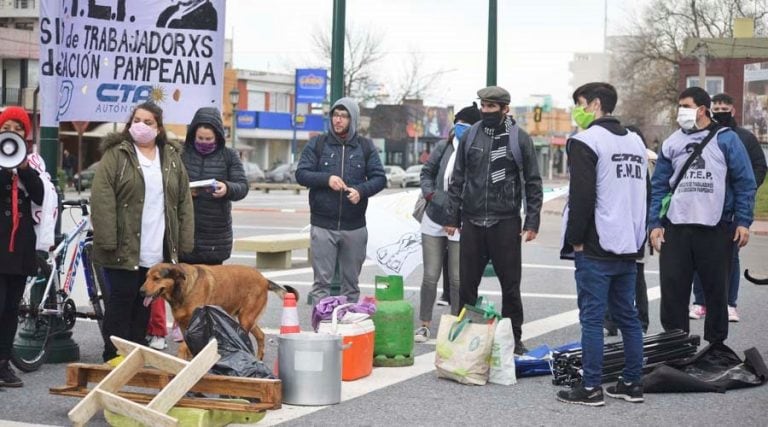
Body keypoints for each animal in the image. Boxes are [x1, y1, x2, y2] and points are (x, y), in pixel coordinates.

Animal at [140, 264, 298, 362]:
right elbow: (188, 346)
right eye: (146, 277)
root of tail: (264, 279)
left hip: (246, 318)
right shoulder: (184, 325)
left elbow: (183, 346)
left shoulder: (195, 325)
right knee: (261, 335)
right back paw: (258, 358)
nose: (141, 291)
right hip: (247, 318)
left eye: (156, 278)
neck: (182, 288)